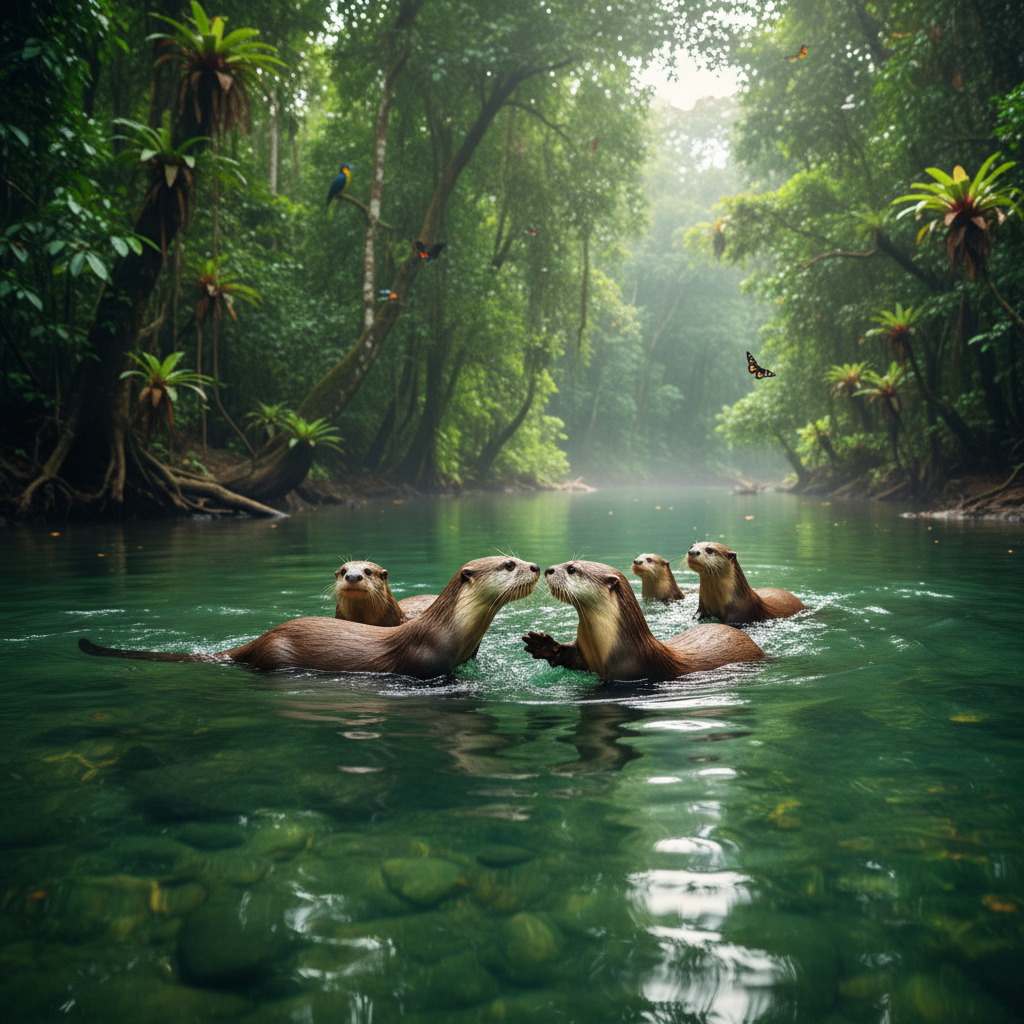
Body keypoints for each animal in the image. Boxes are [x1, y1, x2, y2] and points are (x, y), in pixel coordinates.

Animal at [81, 556, 540, 678]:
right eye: (509, 564)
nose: (537, 566)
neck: (450, 631)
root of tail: (263, 636)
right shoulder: (424, 666)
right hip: (278, 654)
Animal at [523, 560, 763, 681]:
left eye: (572, 569)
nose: (548, 569)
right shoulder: (584, 653)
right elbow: (568, 656)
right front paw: (542, 644)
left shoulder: (626, 672)